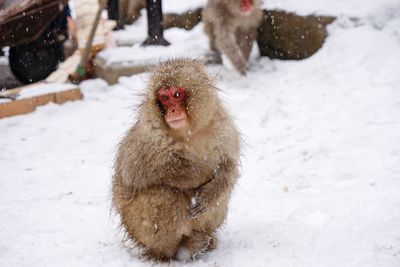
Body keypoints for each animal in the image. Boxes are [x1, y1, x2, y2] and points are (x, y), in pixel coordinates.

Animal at [111, 58, 239, 262]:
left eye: (177, 94)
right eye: (164, 97)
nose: (171, 110)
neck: (188, 132)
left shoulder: (223, 128)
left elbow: (229, 167)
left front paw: (212, 191)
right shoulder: (148, 137)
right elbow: (134, 172)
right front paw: (203, 172)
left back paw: (204, 241)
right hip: (137, 226)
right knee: (164, 194)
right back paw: (174, 252)